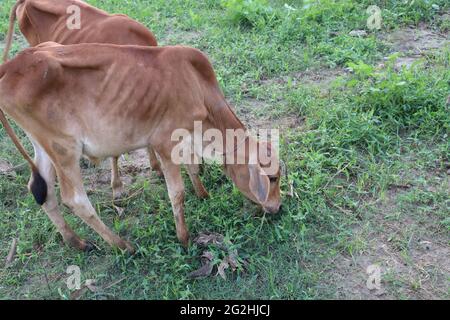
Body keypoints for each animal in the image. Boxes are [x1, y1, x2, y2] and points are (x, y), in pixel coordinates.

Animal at [0, 43, 282, 252]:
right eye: (273, 178)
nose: (277, 208)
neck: (198, 87)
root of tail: (11, 66)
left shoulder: (187, 138)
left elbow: (193, 166)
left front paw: (203, 194)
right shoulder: (164, 142)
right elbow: (176, 193)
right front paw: (184, 238)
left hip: (43, 146)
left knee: (42, 190)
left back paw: (75, 241)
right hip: (64, 148)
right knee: (74, 199)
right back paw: (122, 245)